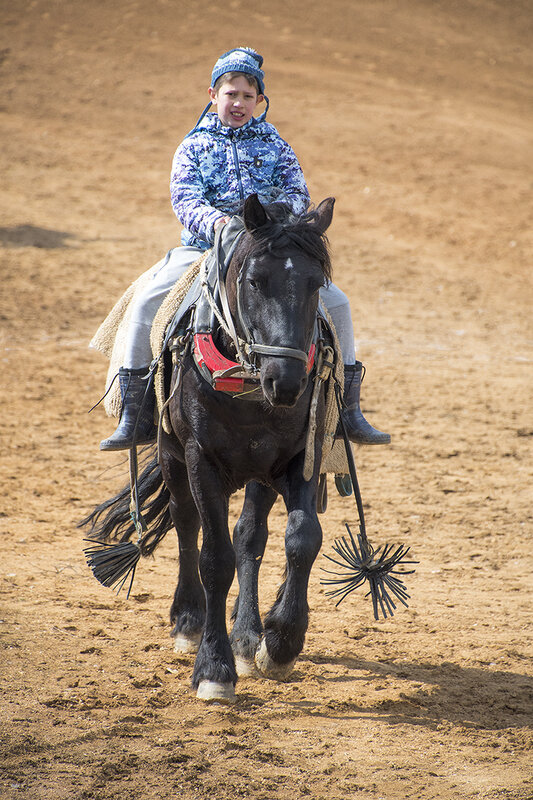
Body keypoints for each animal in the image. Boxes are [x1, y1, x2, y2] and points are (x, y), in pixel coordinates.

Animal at [83, 193, 336, 703]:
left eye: (316, 283)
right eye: (255, 281)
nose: (287, 382)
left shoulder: (298, 459)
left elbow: (301, 540)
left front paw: (279, 642)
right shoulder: (201, 460)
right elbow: (213, 557)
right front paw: (214, 669)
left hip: (260, 474)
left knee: (251, 537)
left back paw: (247, 636)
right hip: (173, 457)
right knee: (186, 525)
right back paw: (188, 620)